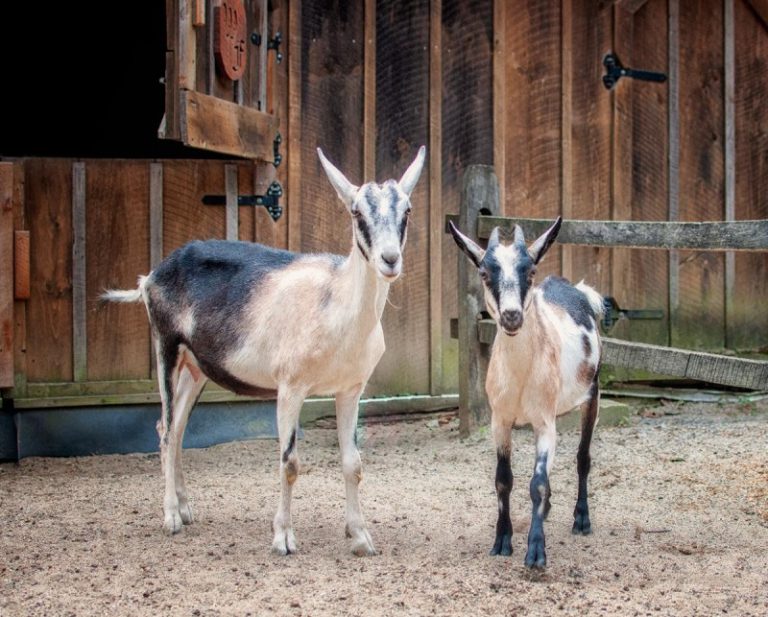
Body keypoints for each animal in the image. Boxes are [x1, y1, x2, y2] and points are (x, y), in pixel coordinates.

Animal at [102, 146, 426, 556]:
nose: (389, 259)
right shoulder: (290, 387)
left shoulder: (350, 389)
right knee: (165, 430)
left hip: (196, 369)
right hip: (166, 347)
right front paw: (283, 538)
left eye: (407, 209)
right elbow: (290, 462)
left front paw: (361, 537)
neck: (335, 302)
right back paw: (171, 516)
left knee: (174, 428)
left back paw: (187, 509)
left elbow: (353, 463)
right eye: (356, 212)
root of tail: (150, 278)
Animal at [448, 217, 603, 569]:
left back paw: (581, 519)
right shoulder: (500, 420)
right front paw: (502, 541)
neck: (520, 377)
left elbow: (538, 482)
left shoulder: (545, 422)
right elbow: (503, 480)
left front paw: (535, 552)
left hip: (593, 394)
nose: (511, 316)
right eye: (484, 273)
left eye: (529, 272)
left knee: (583, 458)